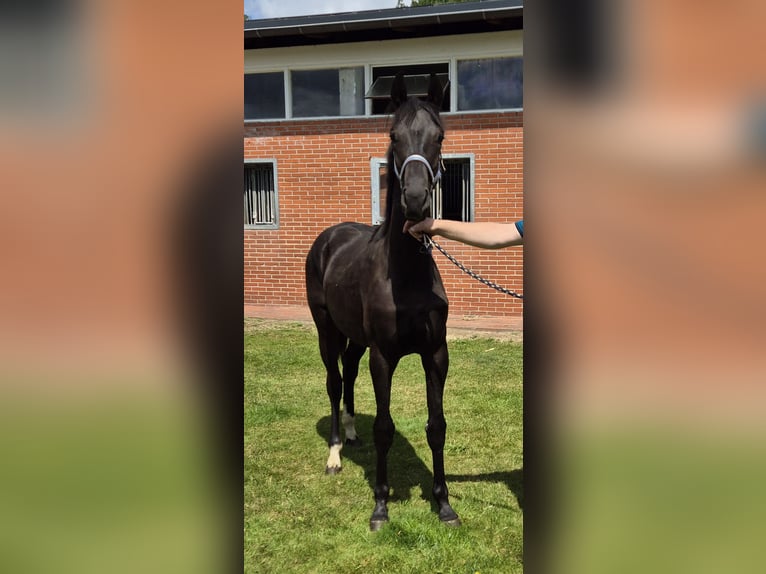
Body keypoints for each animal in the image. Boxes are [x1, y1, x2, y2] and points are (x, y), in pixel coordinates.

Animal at [308, 74, 462, 532]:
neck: (406, 276)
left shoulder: (436, 353)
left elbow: (437, 425)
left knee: (349, 374)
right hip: (327, 330)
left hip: (355, 339)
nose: (414, 201)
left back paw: (350, 434)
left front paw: (444, 504)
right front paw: (380, 506)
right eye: (394, 135)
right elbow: (384, 427)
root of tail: (329, 237)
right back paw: (336, 454)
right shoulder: (384, 356)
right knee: (334, 381)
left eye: (439, 135)